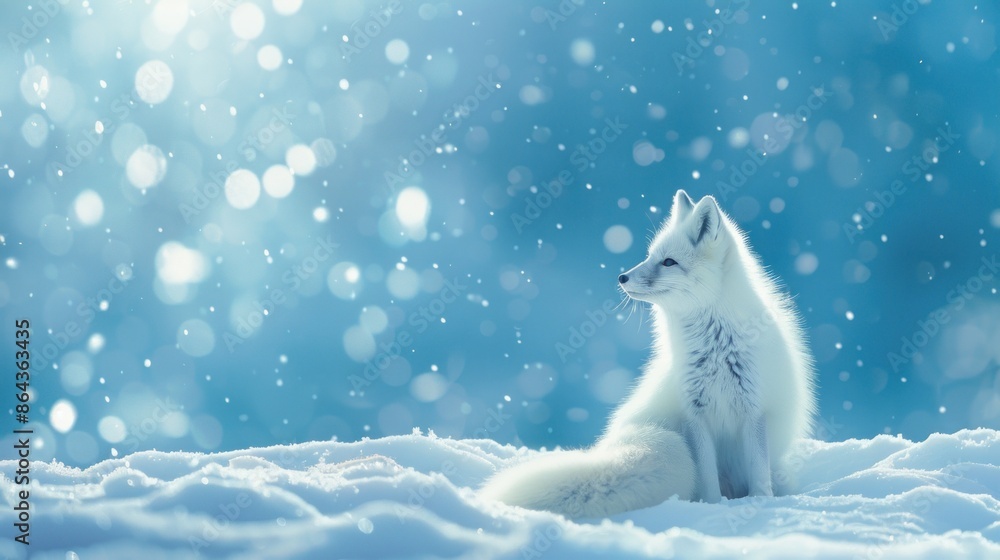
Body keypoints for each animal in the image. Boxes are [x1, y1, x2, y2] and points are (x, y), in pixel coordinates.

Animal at [481, 190, 816, 518]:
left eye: (668, 262)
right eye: (650, 256)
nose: (622, 277)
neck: (715, 345)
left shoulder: (753, 409)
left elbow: (759, 474)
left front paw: (761, 503)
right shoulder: (695, 414)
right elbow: (708, 478)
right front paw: (712, 508)